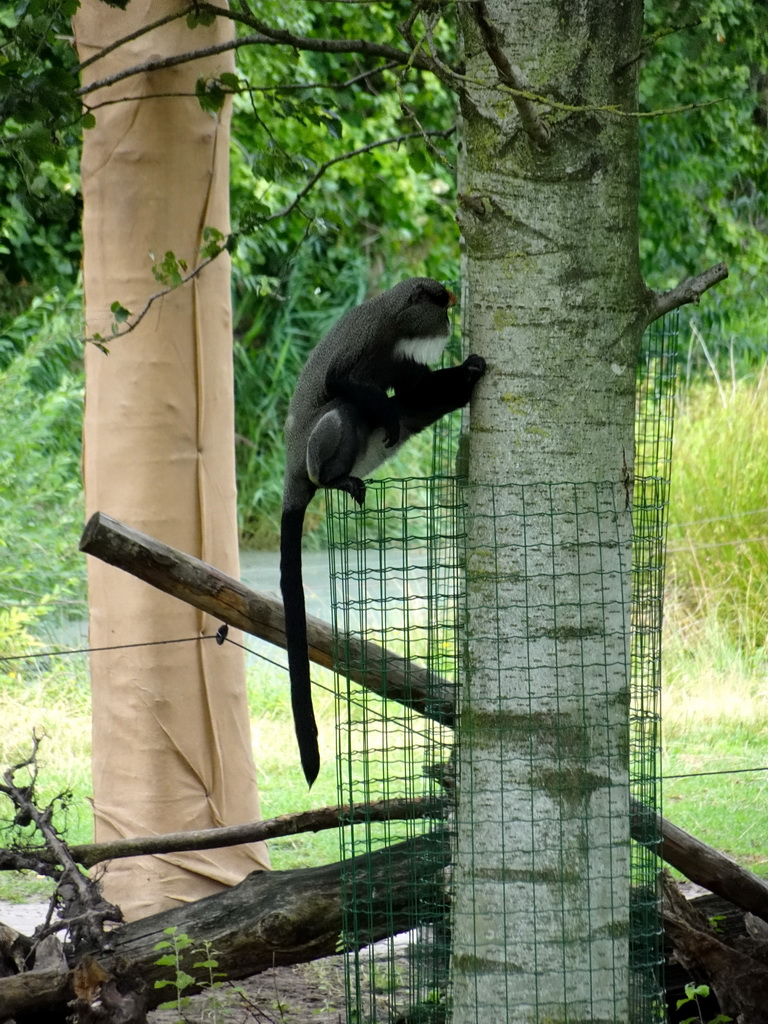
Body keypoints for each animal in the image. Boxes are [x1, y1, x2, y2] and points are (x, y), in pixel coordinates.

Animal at [282, 274, 487, 782]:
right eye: (440, 304)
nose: (452, 320)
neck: (394, 327)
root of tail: (295, 478)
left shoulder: (405, 364)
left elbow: (420, 387)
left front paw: (468, 370)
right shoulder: (367, 343)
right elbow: (341, 383)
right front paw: (389, 410)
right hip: (318, 449)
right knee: (346, 409)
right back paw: (334, 478)